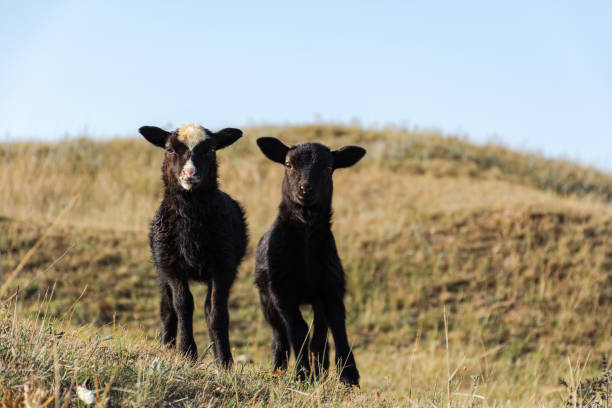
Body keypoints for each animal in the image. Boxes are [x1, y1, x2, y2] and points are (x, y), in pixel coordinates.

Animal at [140, 122, 247, 368]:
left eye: (211, 149)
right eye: (169, 149)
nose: (190, 174)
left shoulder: (223, 266)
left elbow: (216, 311)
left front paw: (224, 361)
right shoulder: (170, 265)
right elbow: (183, 305)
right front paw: (187, 352)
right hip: (161, 270)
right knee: (167, 308)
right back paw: (167, 347)